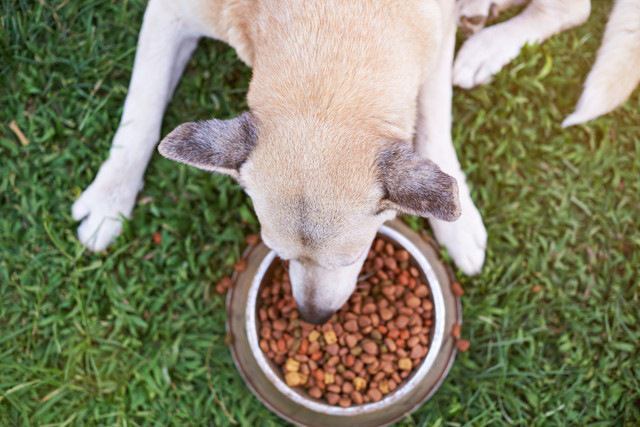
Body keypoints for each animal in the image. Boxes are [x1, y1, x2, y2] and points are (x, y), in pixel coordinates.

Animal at [72, 0, 488, 320]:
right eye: (277, 253)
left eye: (352, 258)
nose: (313, 317)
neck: (331, 28)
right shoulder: (168, 14)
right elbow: (142, 109)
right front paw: (109, 199)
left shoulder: (437, 44)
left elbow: (434, 122)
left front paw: (459, 225)